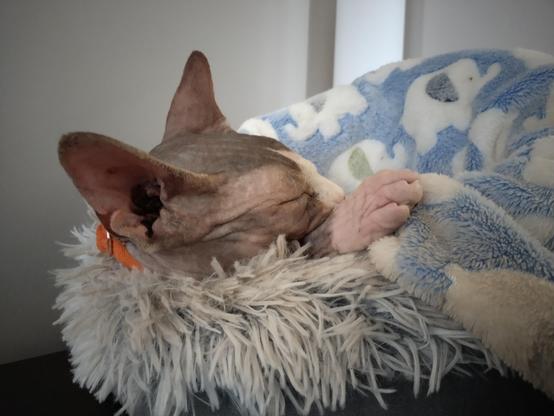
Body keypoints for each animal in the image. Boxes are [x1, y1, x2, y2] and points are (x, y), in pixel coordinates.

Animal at [58, 52, 420, 280]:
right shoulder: (264, 266)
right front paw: (365, 208)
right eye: (294, 200)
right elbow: (308, 247)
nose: (341, 195)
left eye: (313, 169)